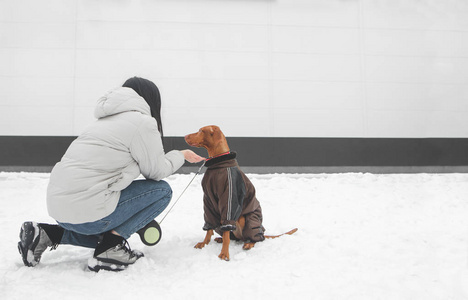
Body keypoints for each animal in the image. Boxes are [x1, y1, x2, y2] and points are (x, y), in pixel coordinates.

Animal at [186, 124, 296, 260]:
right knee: (235, 237)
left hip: (246, 219)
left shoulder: (229, 199)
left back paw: (249, 243)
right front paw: (204, 243)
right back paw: (220, 239)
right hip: (221, 221)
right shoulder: (208, 200)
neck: (218, 164)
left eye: (201, 130)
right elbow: (209, 228)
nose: (185, 136)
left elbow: (227, 233)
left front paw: (224, 253)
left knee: (256, 238)